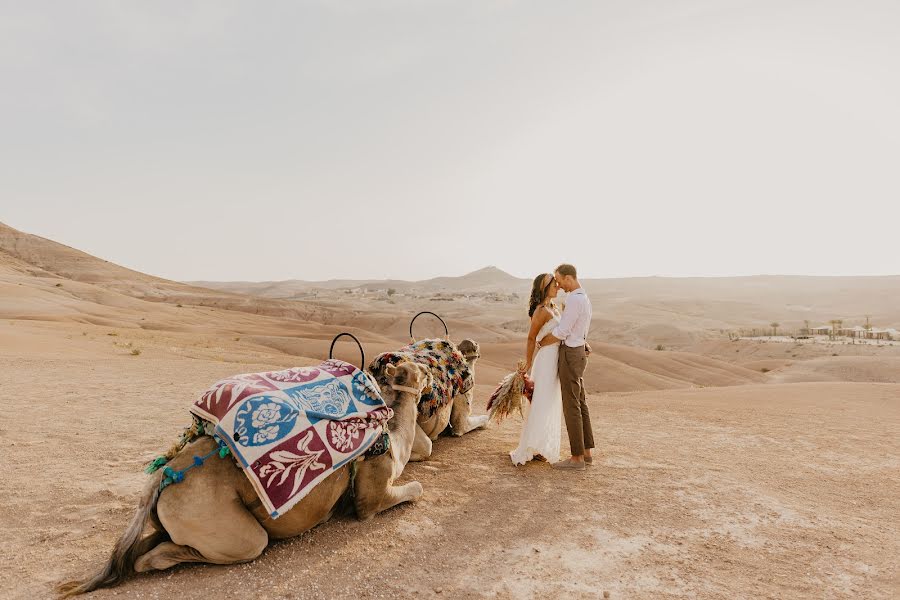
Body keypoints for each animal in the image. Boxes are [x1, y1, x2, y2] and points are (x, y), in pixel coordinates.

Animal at [58, 358, 430, 596]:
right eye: (420, 370)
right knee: (187, 553)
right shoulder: (371, 495)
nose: (430, 371)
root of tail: (164, 474)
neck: (394, 437)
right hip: (225, 527)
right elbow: (416, 488)